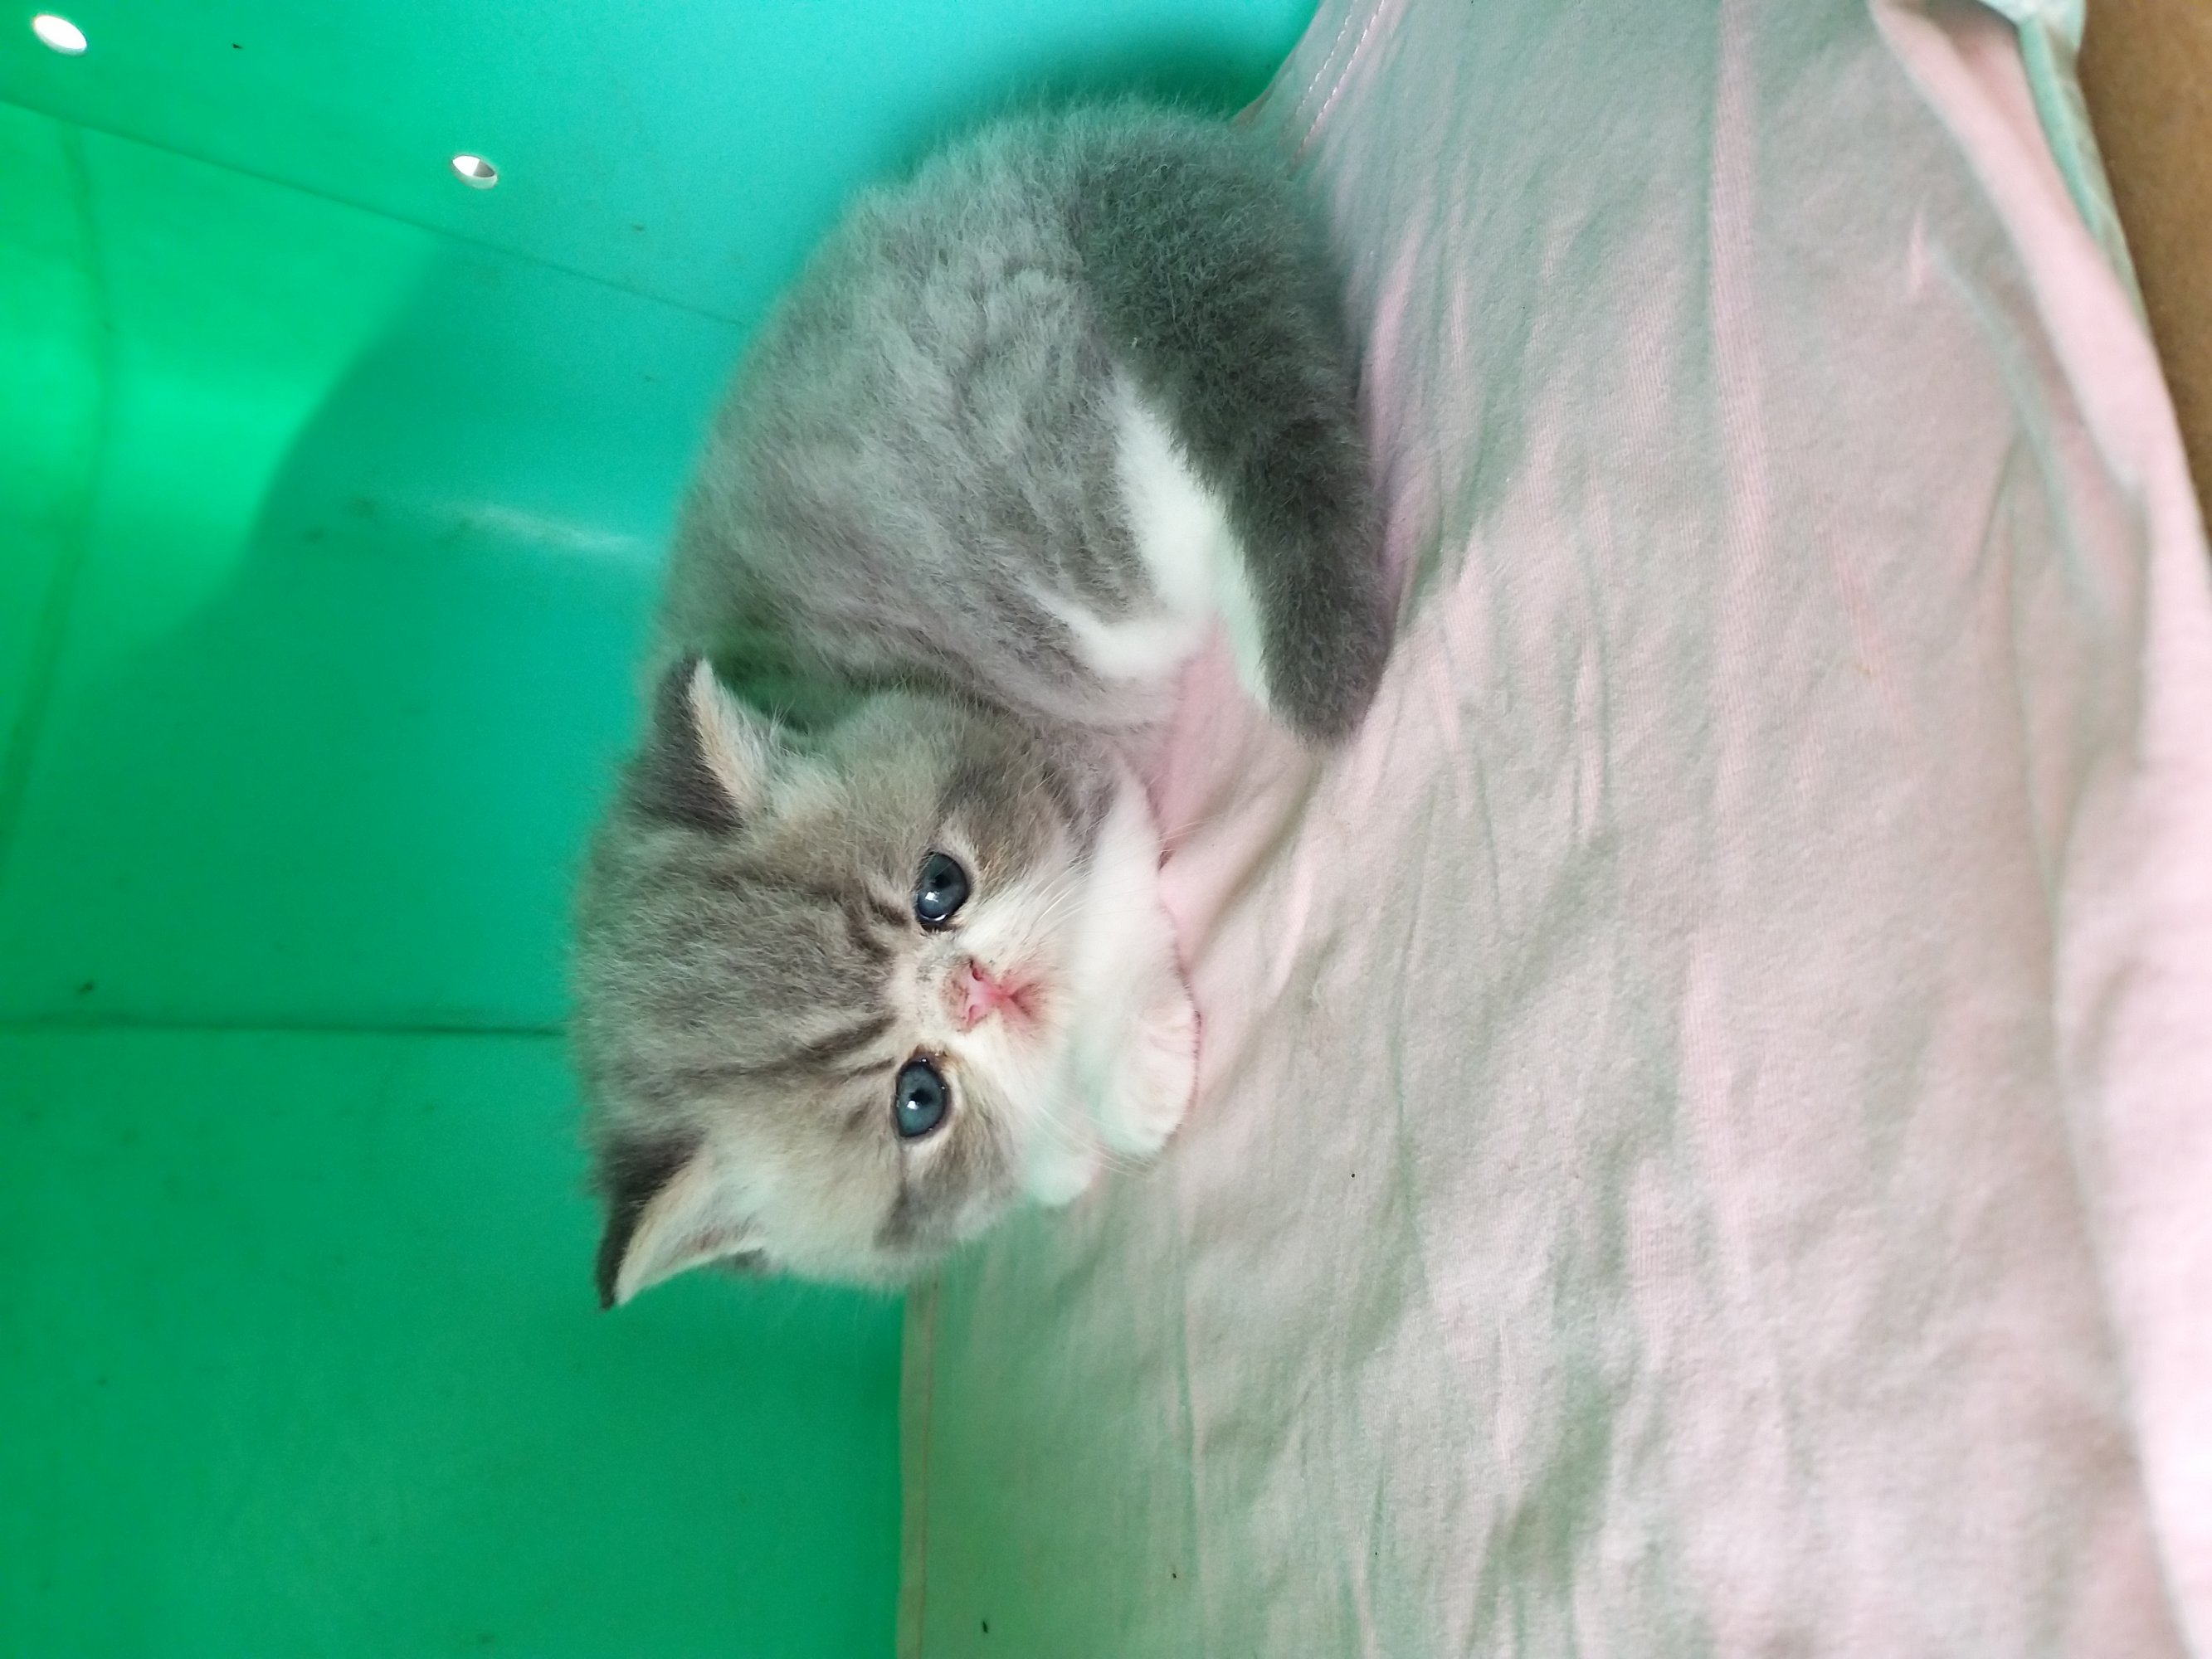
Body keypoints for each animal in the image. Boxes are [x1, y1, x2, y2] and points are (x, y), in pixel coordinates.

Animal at [573, 101, 1388, 1304]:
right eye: (918, 1101)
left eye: (939, 888)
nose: (976, 991)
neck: (846, 688)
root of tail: (1054, 158)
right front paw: (1057, 1150)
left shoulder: (1073, 768)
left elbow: (1103, 902)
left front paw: (1127, 1071)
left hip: (1071, 532)